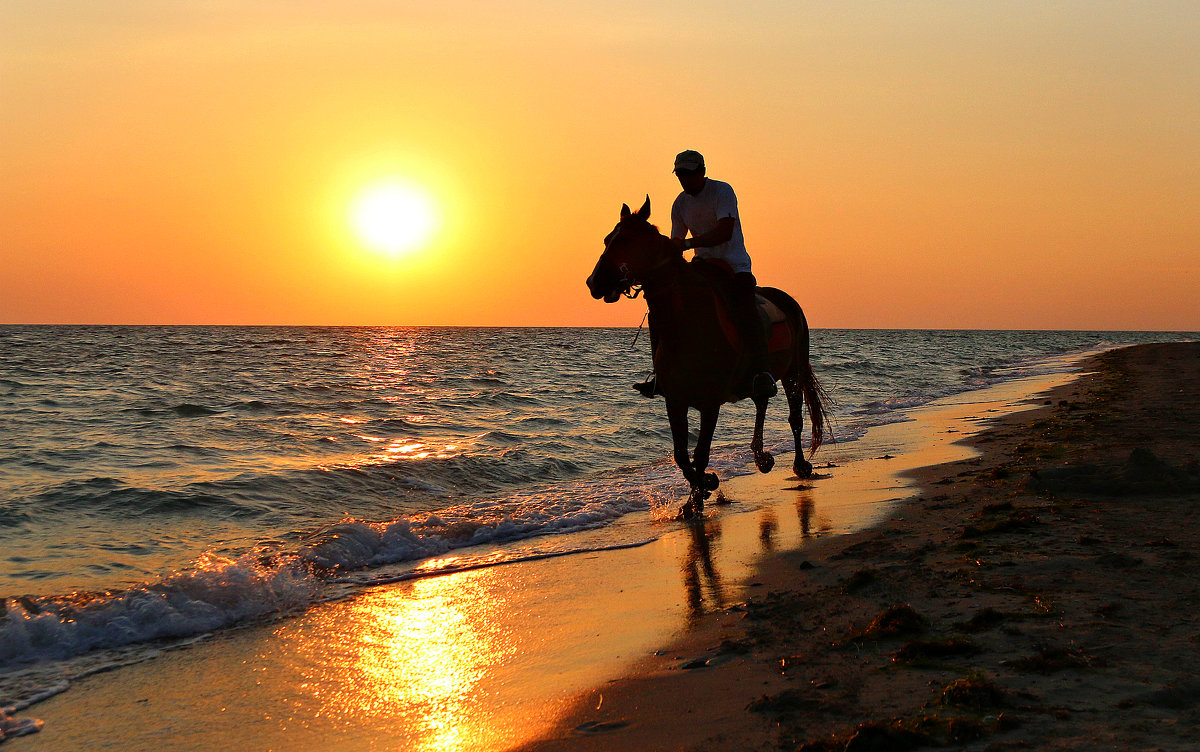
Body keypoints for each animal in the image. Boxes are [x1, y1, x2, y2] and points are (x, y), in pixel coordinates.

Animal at [585, 196, 830, 520]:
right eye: (606, 239)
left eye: (627, 241)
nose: (594, 283)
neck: (687, 322)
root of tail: (789, 301)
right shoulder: (674, 400)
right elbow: (681, 455)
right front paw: (698, 493)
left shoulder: (710, 402)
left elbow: (700, 454)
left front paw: (703, 491)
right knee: (761, 401)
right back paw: (761, 457)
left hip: (794, 371)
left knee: (794, 419)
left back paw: (800, 465)